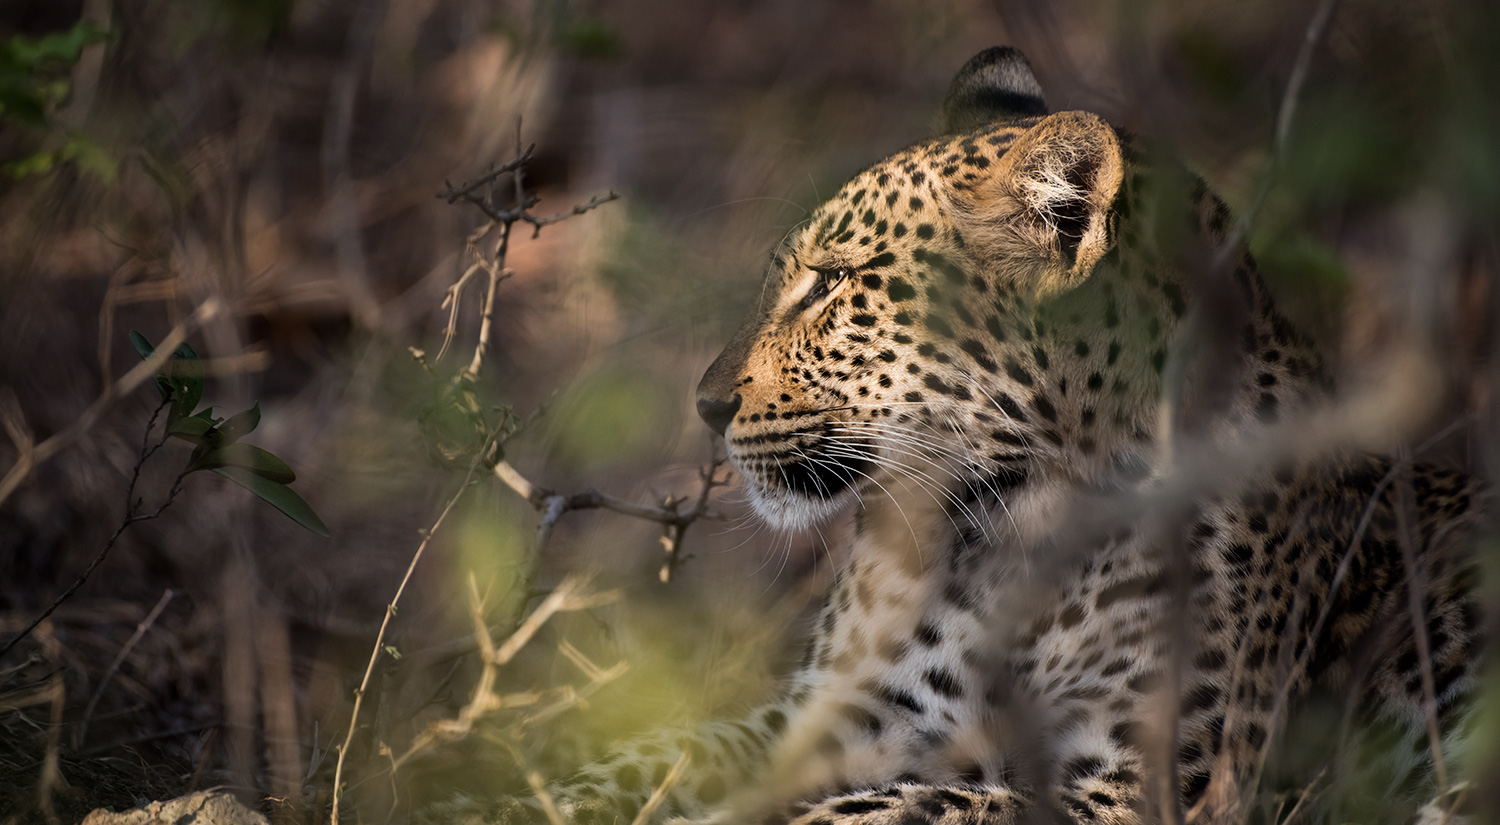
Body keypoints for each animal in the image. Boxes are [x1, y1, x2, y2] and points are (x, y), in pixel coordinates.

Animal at [464, 47, 1486, 825]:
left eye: (834, 283)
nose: (707, 405)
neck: (1002, 533)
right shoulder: (830, 718)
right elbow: (663, 748)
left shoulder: (1140, 785)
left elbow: (899, 807)